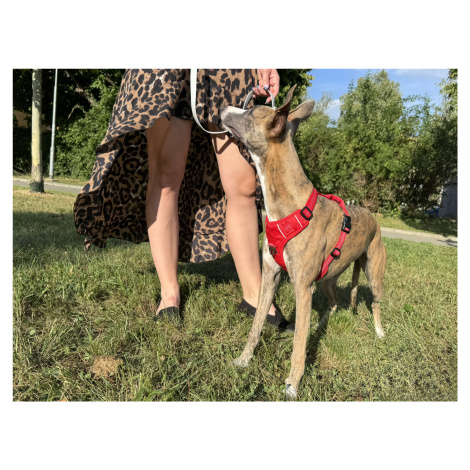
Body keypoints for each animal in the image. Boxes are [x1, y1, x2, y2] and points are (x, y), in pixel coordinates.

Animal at [219, 85, 386, 399]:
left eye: (250, 111)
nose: (222, 107)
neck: (288, 208)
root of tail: (371, 214)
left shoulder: (302, 288)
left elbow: (298, 345)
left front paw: (292, 384)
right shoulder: (270, 276)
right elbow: (256, 325)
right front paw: (244, 359)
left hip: (373, 273)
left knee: (375, 304)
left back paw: (380, 331)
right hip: (329, 278)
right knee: (334, 302)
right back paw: (322, 322)